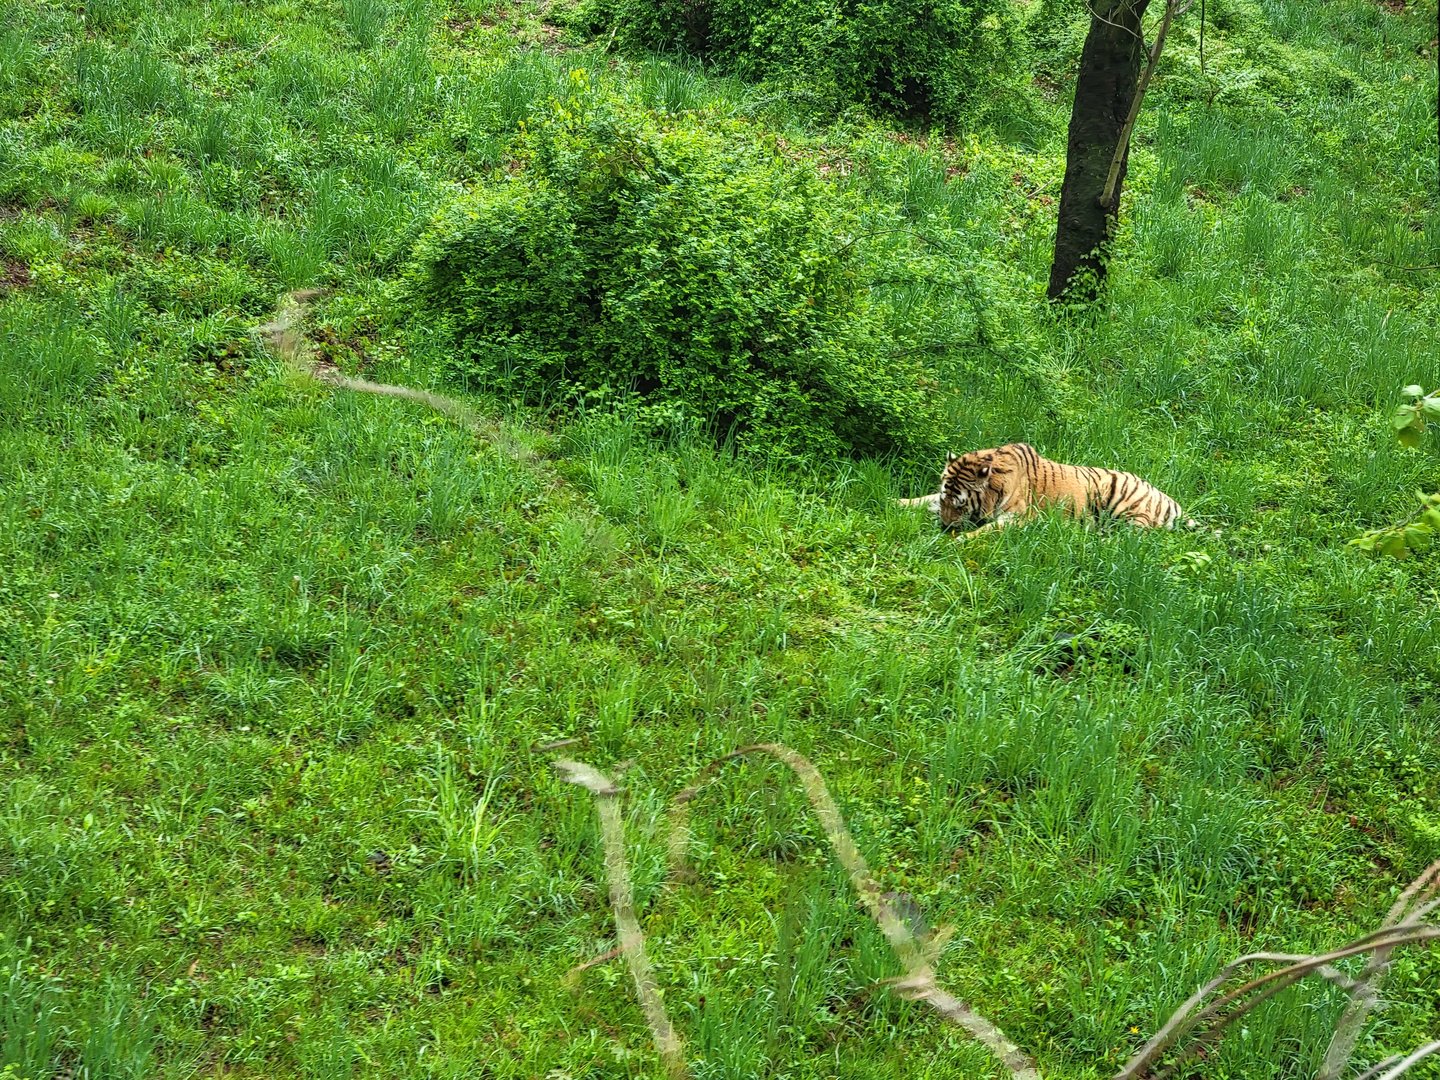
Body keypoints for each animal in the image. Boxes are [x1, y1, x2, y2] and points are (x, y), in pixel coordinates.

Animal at [898, 442, 1192, 535]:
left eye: (960, 504)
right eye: (946, 500)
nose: (944, 527)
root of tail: (1169, 500)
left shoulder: (1018, 518)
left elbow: (984, 531)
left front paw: (957, 541)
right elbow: (923, 499)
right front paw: (895, 502)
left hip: (1122, 502)